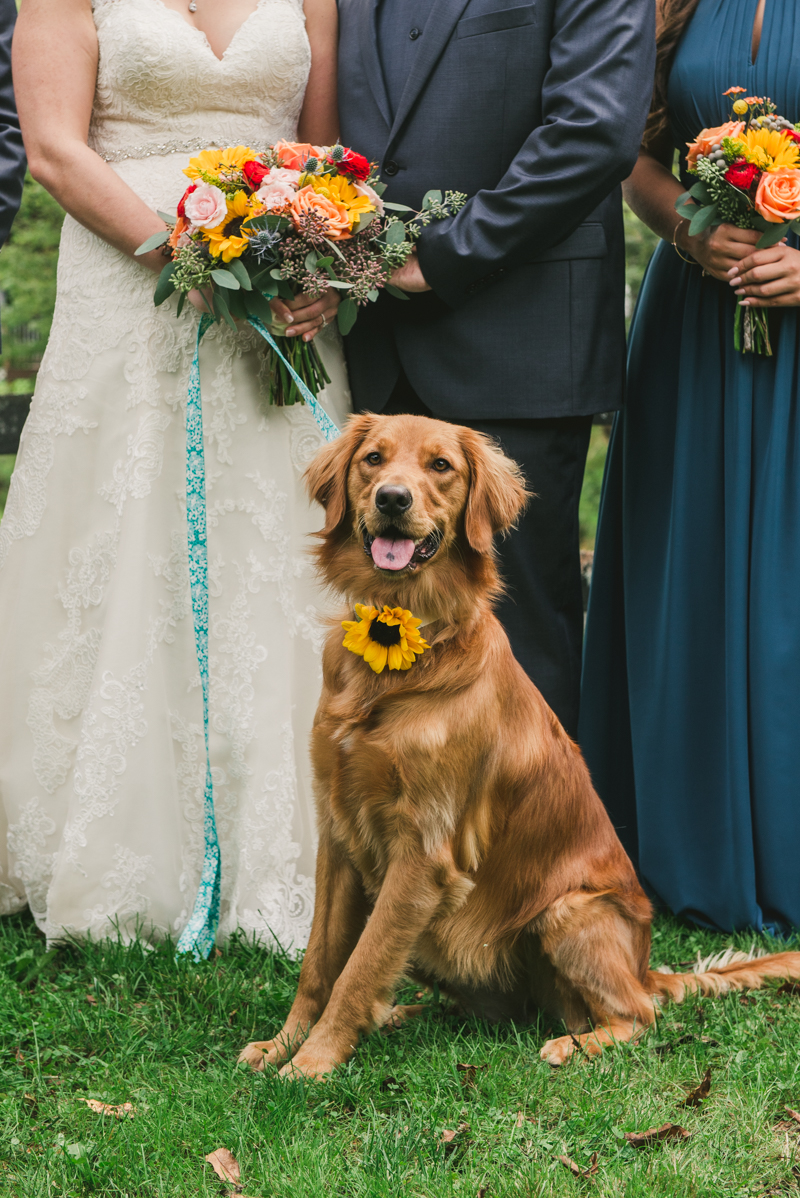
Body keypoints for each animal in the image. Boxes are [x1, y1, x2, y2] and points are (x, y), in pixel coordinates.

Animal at [237, 412, 800, 1078]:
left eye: (440, 466)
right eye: (373, 458)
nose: (392, 499)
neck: (401, 645)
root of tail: (645, 966)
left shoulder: (424, 850)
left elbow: (360, 966)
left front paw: (311, 1063)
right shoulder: (339, 830)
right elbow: (321, 963)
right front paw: (284, 1044)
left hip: (568, 912)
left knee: (636, 1015)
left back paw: (574, 1044)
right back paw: (400, 1015)